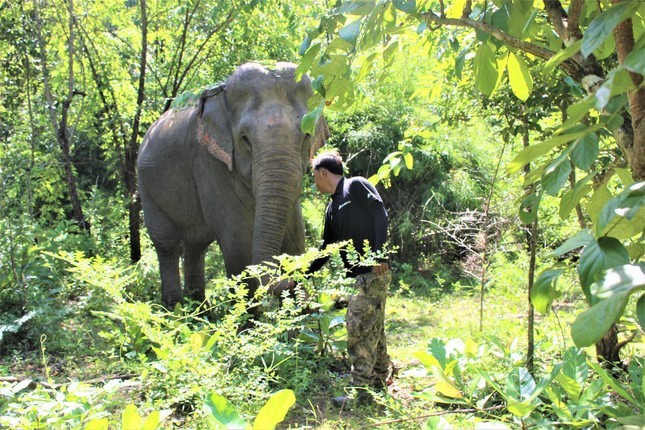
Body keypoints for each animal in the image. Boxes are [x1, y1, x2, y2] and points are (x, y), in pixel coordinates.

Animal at [138, 62, 324, 308]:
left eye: (306, 135)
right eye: (244, 139)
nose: (285, 283)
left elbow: (296, 237)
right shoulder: (209, 163)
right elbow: (237, 245)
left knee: (196, 245)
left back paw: (199, 309)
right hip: (147, 189)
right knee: (167, 244)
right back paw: (176, 309)